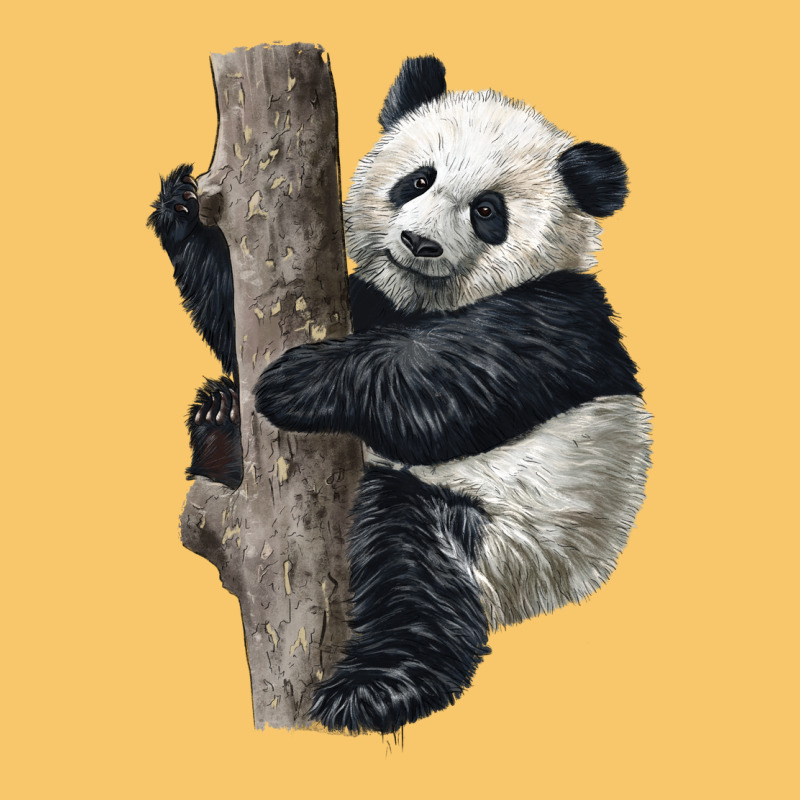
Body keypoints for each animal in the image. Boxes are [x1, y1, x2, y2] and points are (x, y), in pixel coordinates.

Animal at [149, 55, 650, 735]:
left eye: (487, 211)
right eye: (418, 179)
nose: (420, 244)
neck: (428, 300)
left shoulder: (558, 319)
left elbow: (442, 387)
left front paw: (296, 381)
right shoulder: (370, 300)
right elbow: (237, 320)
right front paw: (179, 208)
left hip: (508, 534)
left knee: (410, 567)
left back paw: (371, 692)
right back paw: (217, 426)